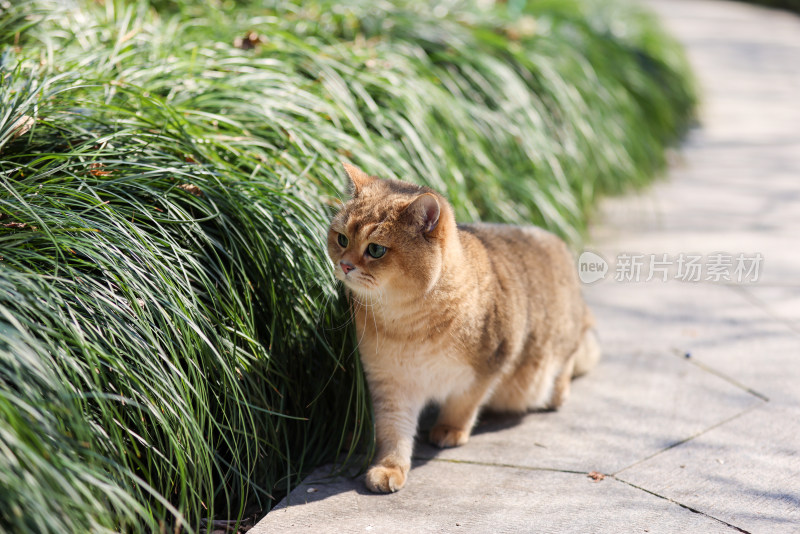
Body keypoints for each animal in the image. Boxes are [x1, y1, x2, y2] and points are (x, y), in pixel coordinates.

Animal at [326, 162, 600, 494]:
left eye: (376, 250)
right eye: (342, 239)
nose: (345, 265)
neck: (406, 324)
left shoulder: (490, 365)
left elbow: (464, 403)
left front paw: (449, 429)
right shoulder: (389, 382)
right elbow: (394, 430)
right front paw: (389, 467)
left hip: (560, 344)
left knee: (566, 362)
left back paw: (557, 392)